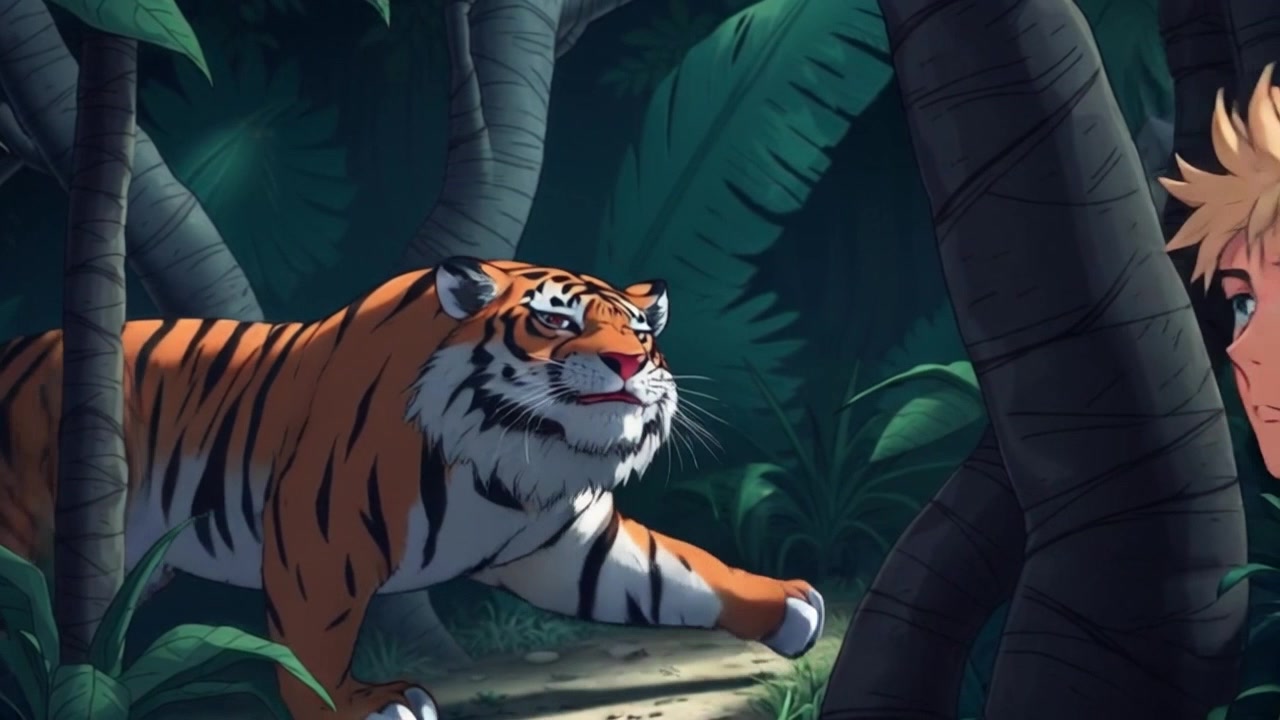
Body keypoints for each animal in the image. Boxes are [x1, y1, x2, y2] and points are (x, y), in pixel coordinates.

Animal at [0, 258, 826, 720]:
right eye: (556, 322)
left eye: (642, 333)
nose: (629, 365)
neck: (523, 459)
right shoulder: (318, 534)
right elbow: (314, 643)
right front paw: (364, 706)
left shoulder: (568, 545)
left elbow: (681, 572)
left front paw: (790, 605)